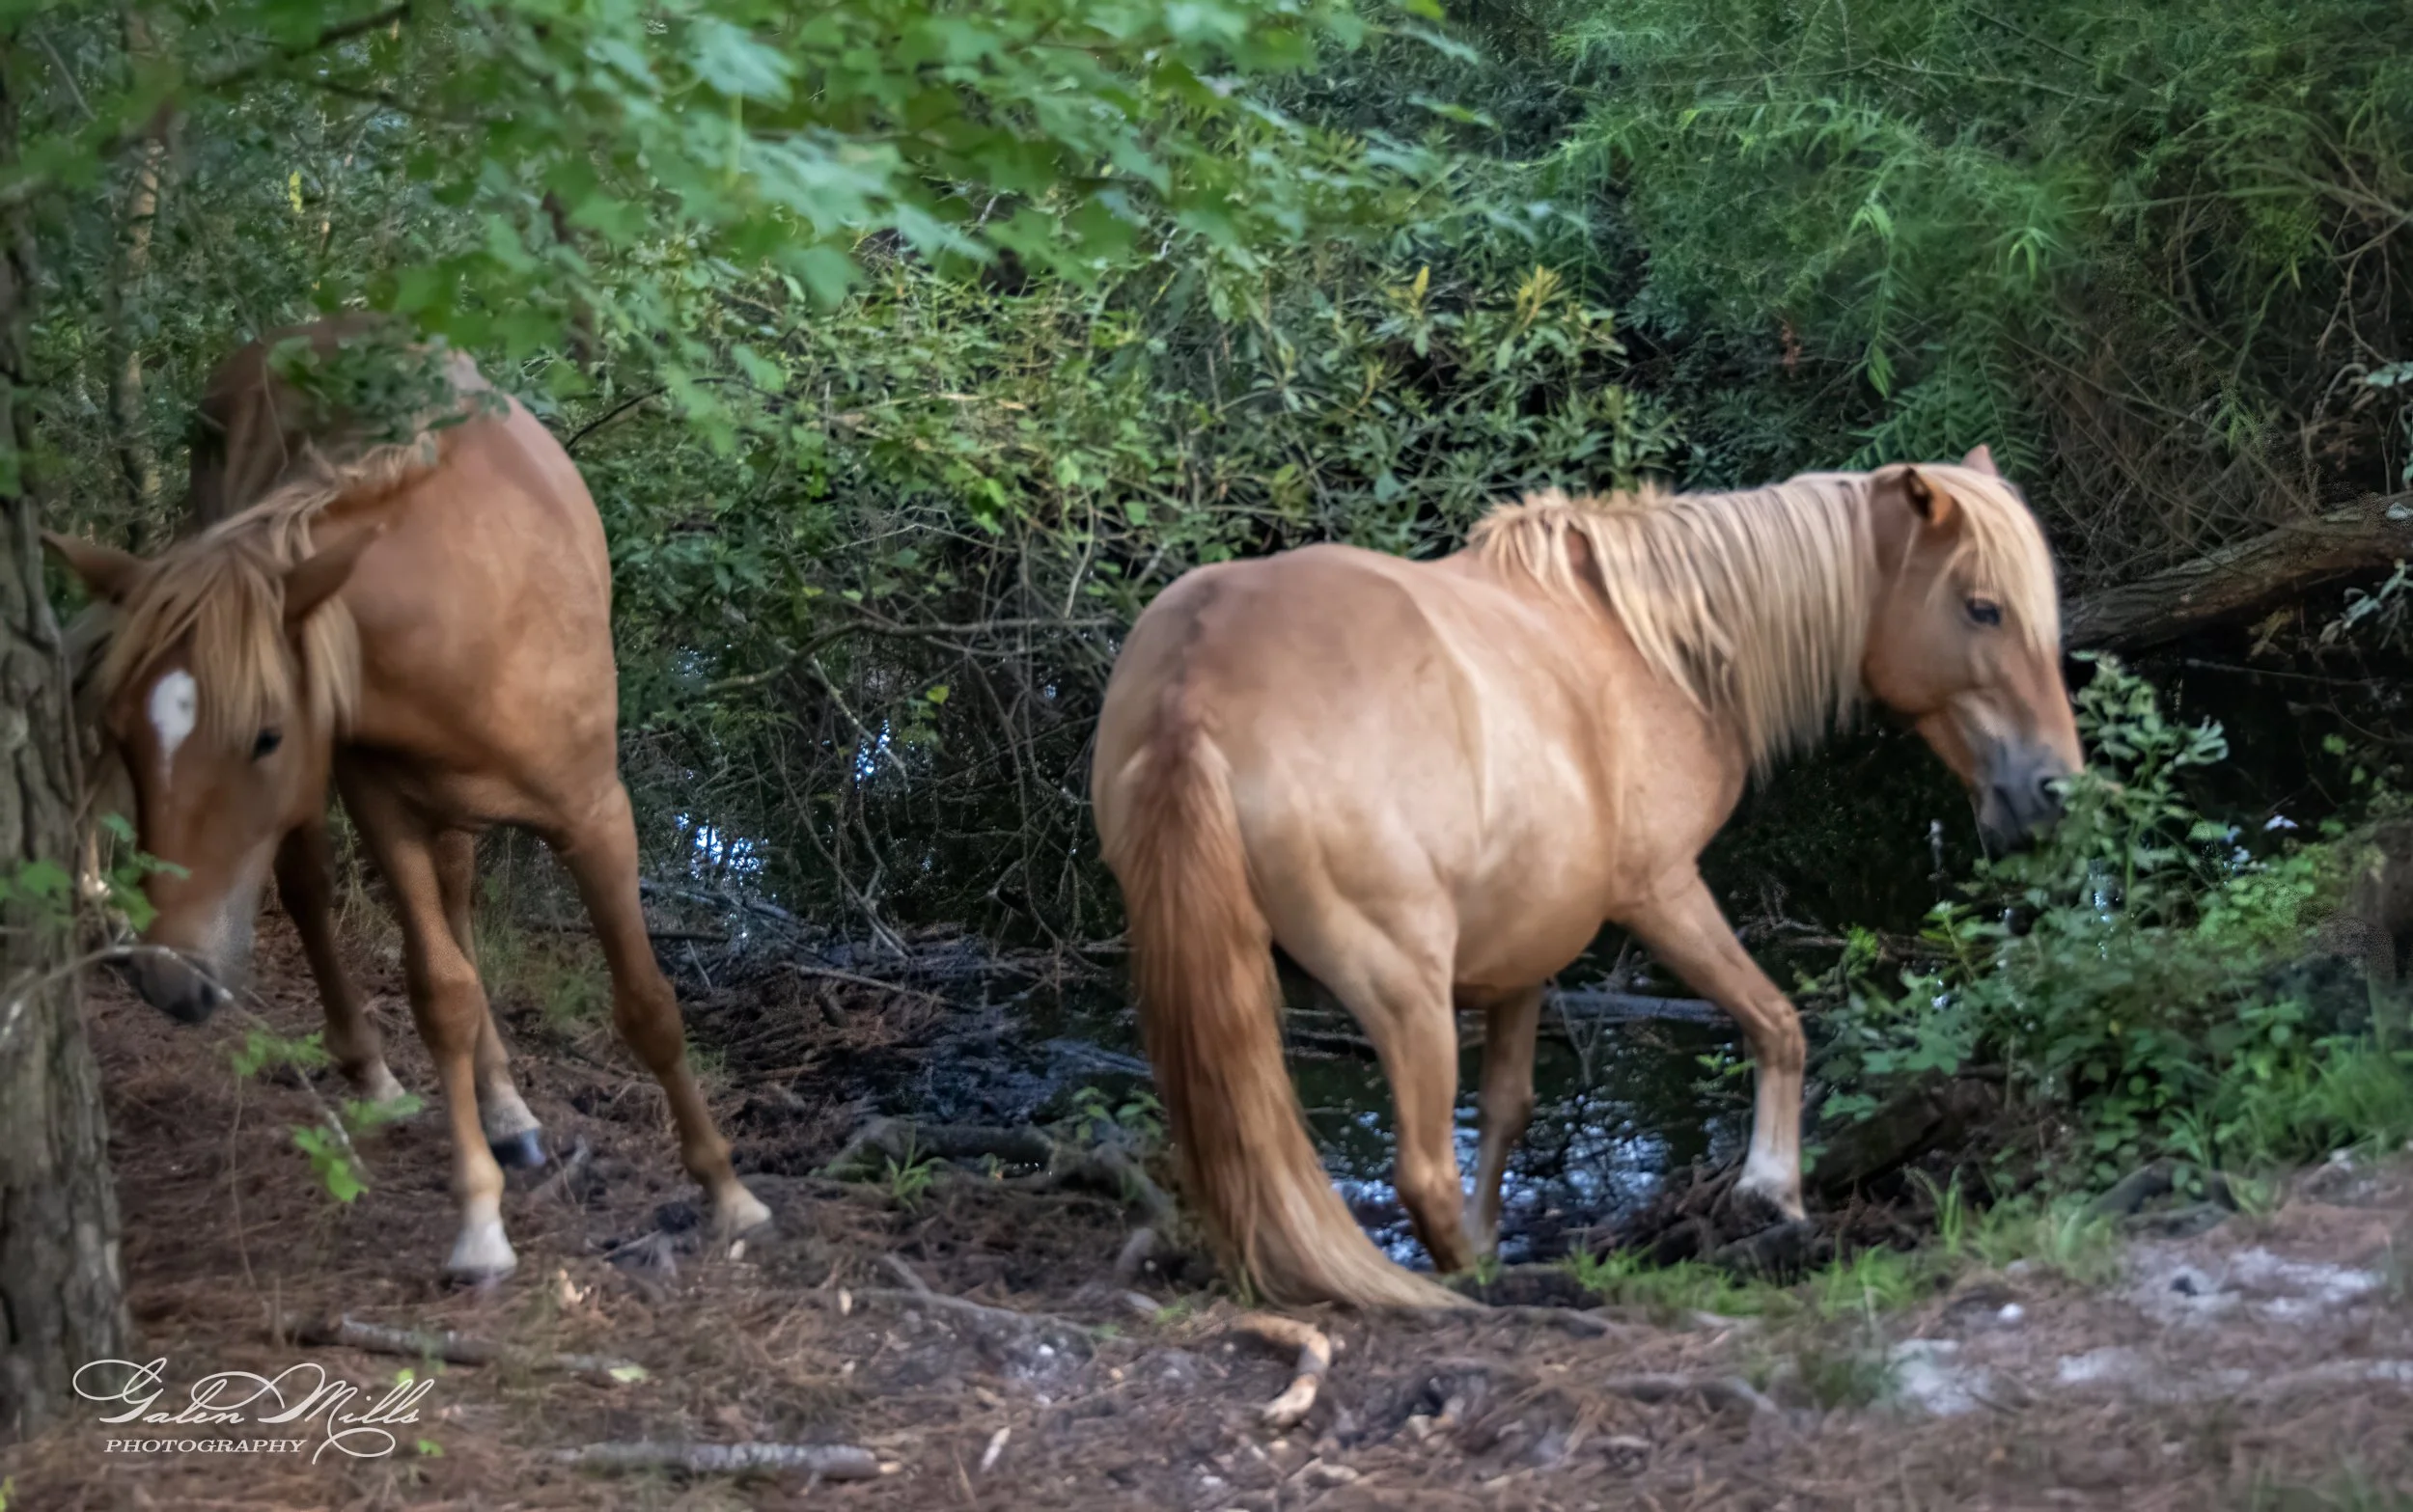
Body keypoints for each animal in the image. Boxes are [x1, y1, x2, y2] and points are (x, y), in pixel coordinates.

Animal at [47, 319, 771, 1282]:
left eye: (265, 735)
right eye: (123, 730)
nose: (167, 976)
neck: (469, 610)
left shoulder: (596, 814)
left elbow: (647, 1002)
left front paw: (727, 1189)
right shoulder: (381, 801)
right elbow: (441, 993)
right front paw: (479, 1222)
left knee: (456, 893)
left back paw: (508, 1110)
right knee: (313, 886)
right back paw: (373, 1070)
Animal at [1091, 449, 2080, 1308]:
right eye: (1984, 608)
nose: (2055, 788)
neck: (1659, 645)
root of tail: (1196, 682)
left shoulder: (1523, 956)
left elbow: (1508, 1109)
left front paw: (1498, 1232)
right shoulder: (1662, 892)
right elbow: (1778, 1022)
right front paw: (1773, 1189)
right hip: (1403, 988)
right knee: (1420, 1170)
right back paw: (1477, 1290)